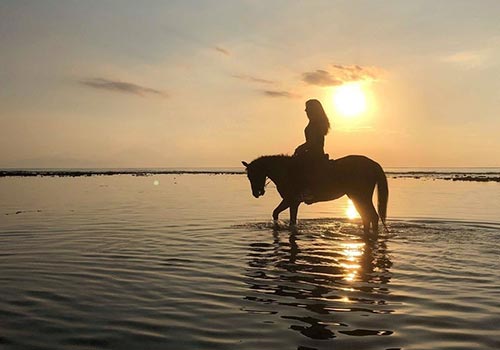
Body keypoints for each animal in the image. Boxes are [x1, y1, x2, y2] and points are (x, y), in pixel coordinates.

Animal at [240, 154, 388, 234]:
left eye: (253, 175)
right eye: (248, 176)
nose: (256, 193)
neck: (287, 171)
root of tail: (374, 164)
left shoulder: (290, 200)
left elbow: (280, 215)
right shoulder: (293, 202)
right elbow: (283, 216)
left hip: (360, 197)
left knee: (371, 216)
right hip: (358, 198)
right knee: (367, 217)